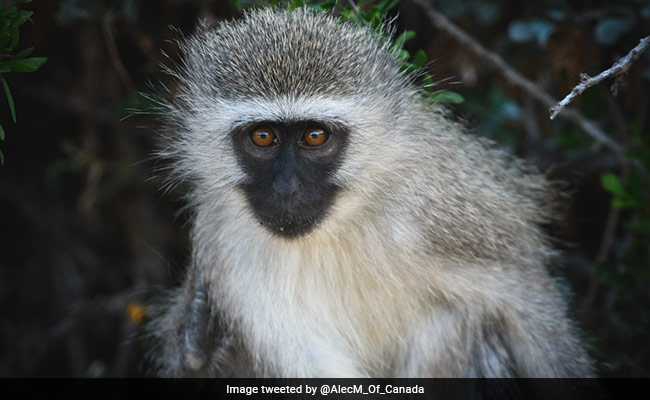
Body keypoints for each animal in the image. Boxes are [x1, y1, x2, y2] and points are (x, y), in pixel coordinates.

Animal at [150, 8, 594, 378]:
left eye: (315, 136)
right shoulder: (224, 242)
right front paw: (197, 334)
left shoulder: (440, 213)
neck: (335, 230)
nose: (286, 188)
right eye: (262, 137)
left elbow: (529, 299)